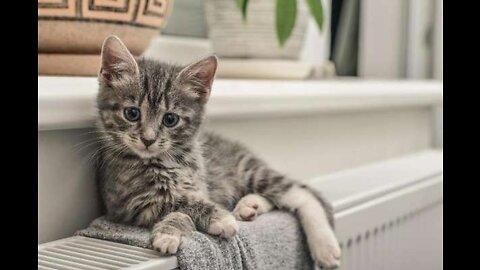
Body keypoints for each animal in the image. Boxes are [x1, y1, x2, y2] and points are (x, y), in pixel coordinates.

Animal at [94, 35, 342, 268]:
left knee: (300, 193)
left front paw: (187, 226)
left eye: (170, 119)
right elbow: (178, 204)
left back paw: (325, 245)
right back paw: (249, 206)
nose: (148, 139)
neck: (169, 161)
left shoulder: (200, 186)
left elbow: (187, 203)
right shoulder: (129, 204)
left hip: (249, 170)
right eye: (132, 113)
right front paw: (186, 228)